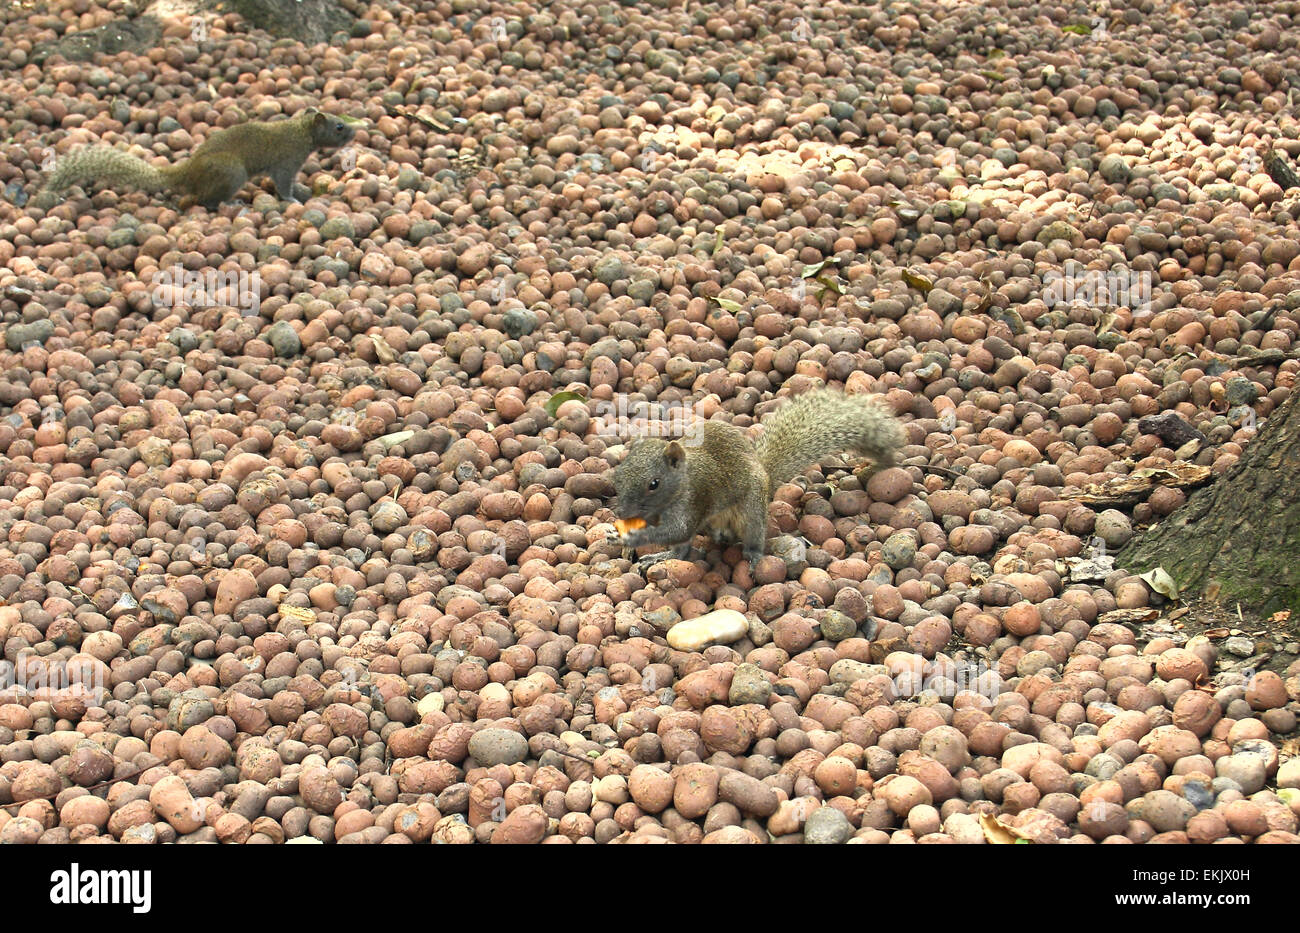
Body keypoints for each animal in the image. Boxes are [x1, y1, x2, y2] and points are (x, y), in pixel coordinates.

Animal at [42, 107, 355, 209]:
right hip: (232, 173)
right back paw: (232, 203)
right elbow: (284, 184)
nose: (354, 132)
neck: (300, 130)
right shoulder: (287, 162)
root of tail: (188, 172)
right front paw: (292, 199)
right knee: (206, 201)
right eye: (339, 126)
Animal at [612, 389, 906, 564]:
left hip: (752, 511)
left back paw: (753, 556)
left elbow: (679, 530)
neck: (683, 480)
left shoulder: (695, 500)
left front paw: (633, 538)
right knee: (685, 549)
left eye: (654, 484)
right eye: (619, 474)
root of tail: (765, 477)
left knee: (753, 534)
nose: (621, 513)